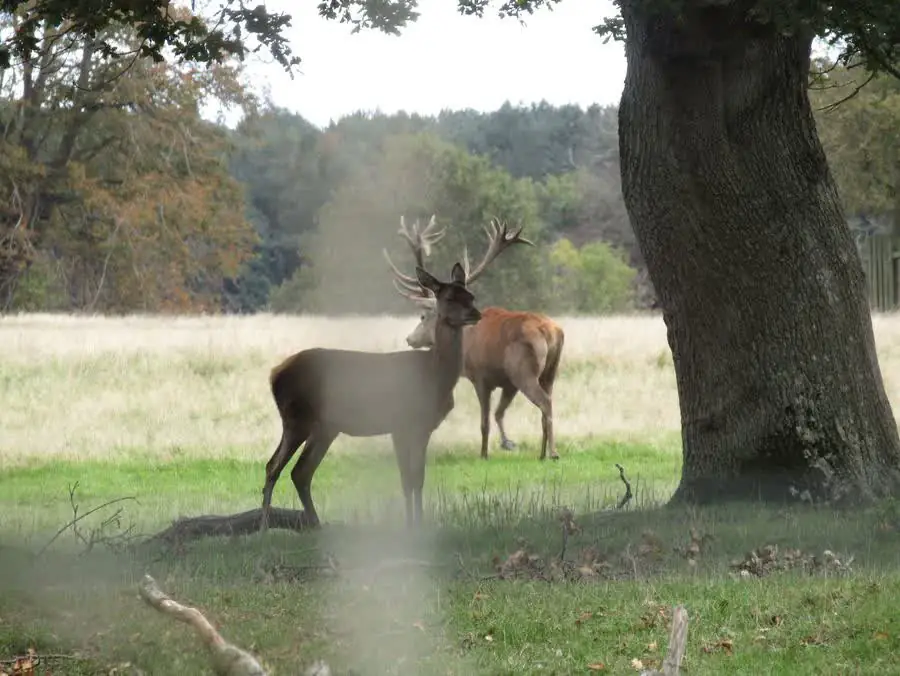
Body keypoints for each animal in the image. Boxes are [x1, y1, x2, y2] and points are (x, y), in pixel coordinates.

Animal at [260, 221, 483, 531]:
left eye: (470, 295)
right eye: (449, 297)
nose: (476, 313)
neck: (433, 376)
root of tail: (274, 373)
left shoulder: (422, 427)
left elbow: (418, 479)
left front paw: (418, 524)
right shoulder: (401, 424)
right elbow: (407, 480)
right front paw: (411, 526)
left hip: (324, 426)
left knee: (297, 471)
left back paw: (312, 525)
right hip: (297, 417)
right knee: (277, 466)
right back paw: (266, 526)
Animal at [384, 216, 565, 462]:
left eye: (422, 316)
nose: (410, 339)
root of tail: (551, 331)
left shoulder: (480, 376)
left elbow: (485, 421)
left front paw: (484, 453)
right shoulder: (507, 382)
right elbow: (499, 413)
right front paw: (508, 443)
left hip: (524, 370)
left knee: (545, 403)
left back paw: (553, 452)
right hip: (549, 372)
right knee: (547, 404)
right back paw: (542, 452)